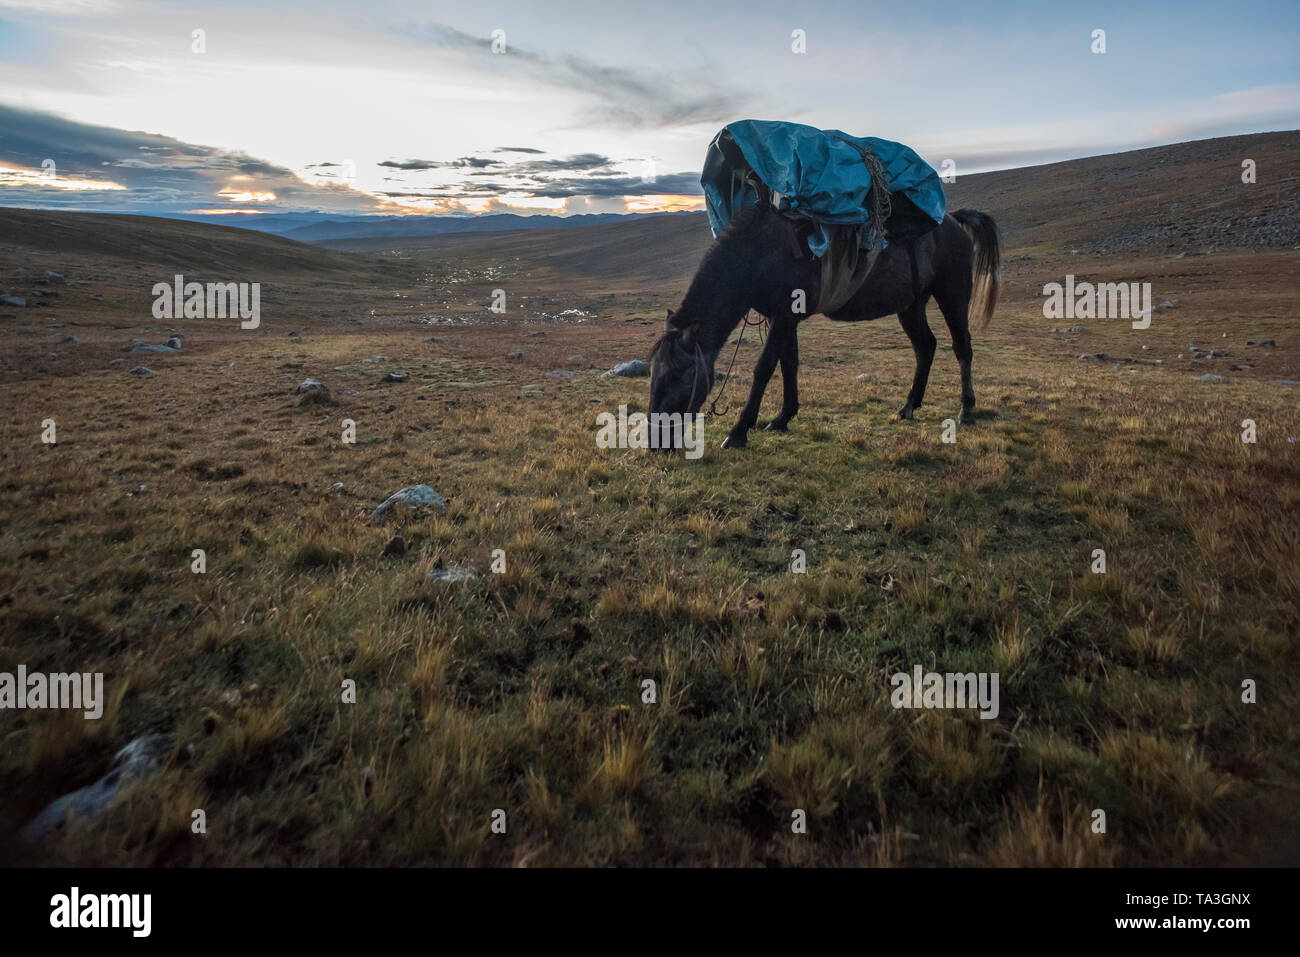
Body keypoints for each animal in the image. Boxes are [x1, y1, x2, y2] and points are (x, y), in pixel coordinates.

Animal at [650, 201, 1003, 447]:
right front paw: (783, 418)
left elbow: (764, 368)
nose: (656, 442)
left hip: (952, 294)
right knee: (925, 347)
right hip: (911, 305)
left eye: (681, 374)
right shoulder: (783, 316)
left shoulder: (785, 316)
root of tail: (953, 220)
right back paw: (908, 407)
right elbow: (788, 363)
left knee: (962, 347)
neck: (761, 254)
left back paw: (967, 411)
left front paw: (739, 431)